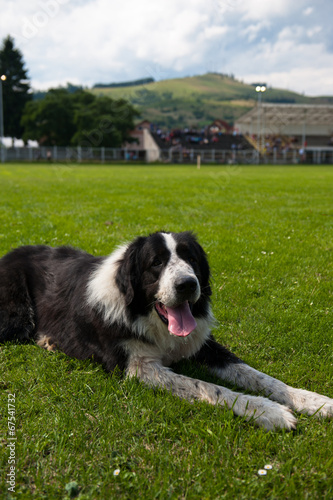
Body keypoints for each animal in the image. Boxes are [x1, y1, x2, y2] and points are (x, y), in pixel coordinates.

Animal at [0, 230, 330, 430]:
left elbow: (258, 376)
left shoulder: (203, 344)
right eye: (156, 263)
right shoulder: (139, 367)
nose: (187, 284)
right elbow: (208, 387)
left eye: (192, 259)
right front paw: (267, 410)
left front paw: (314, 401)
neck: (150, 319)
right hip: (17, 316)